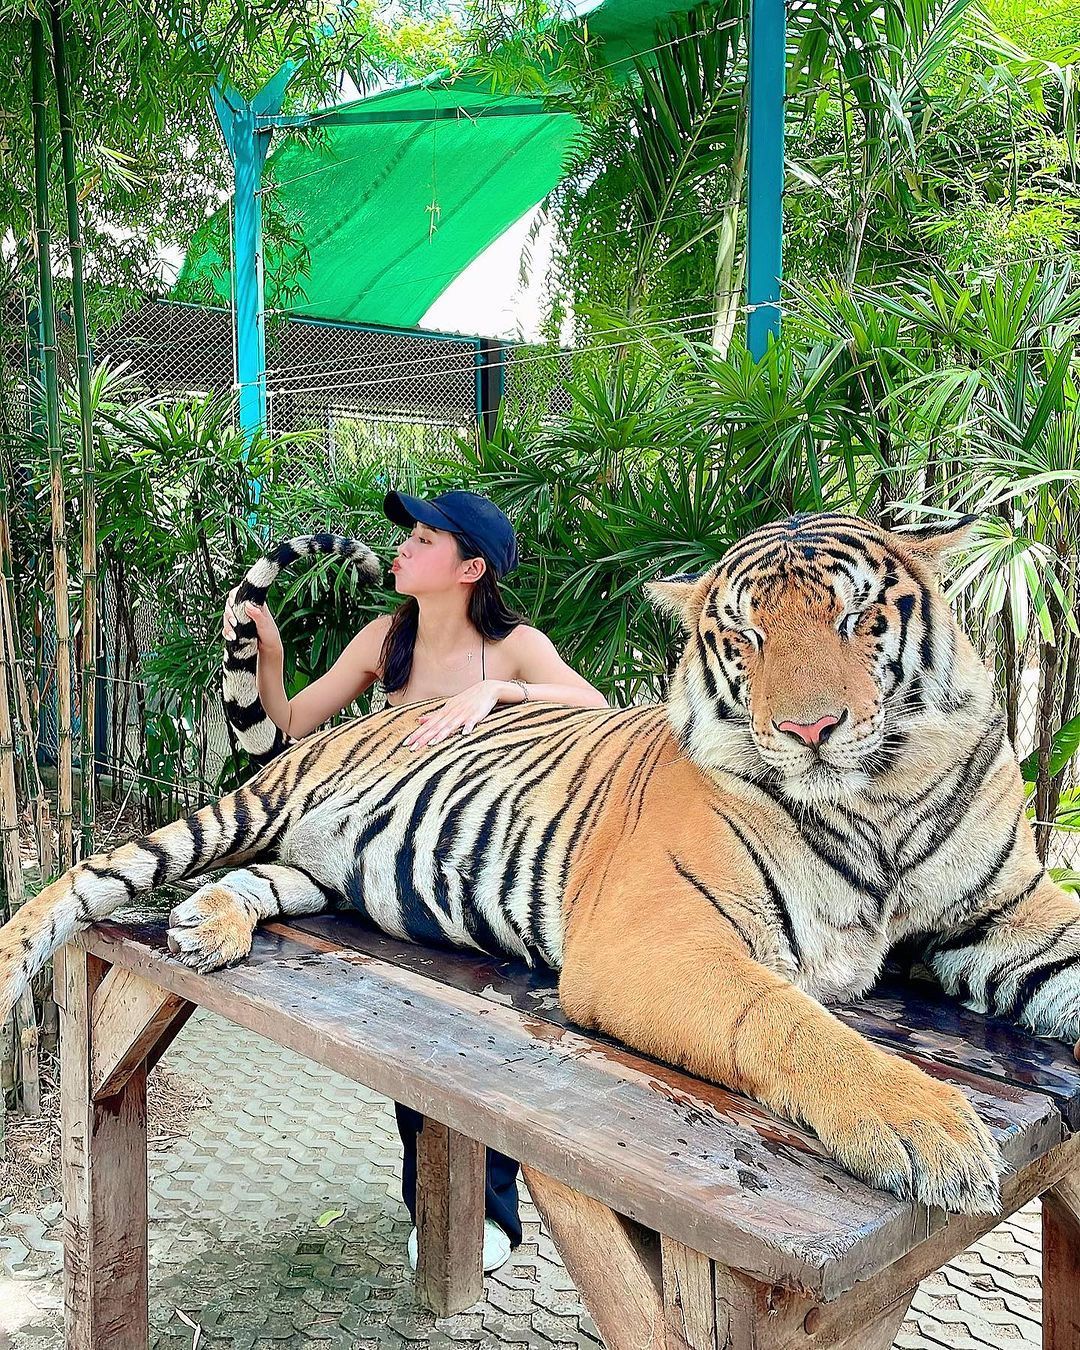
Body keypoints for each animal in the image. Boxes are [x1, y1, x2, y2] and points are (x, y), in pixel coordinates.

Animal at [4, 507, 1074, 1225]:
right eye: (747, 636)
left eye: (857, 621)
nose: (810, 729)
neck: (877, 802)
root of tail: (351, 723)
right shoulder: (655, 941)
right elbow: (789, 1018)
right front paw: (927, 1125)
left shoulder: (1012, 910)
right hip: (236, 812)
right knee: (89, 876)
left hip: (320, 870)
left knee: (254, 883)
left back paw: (210, 927)